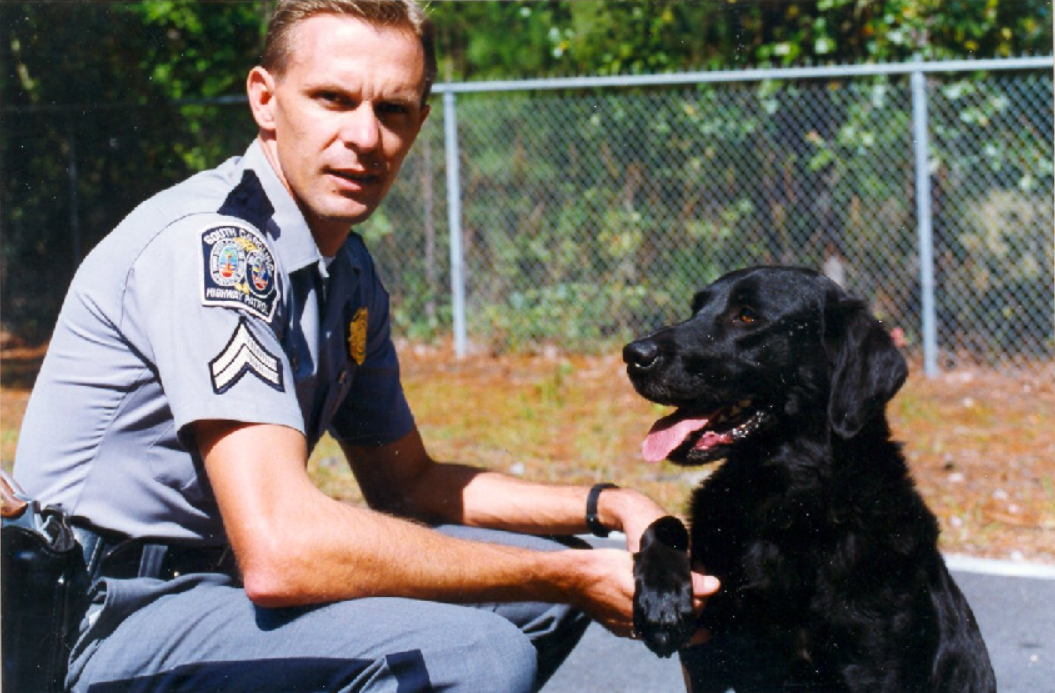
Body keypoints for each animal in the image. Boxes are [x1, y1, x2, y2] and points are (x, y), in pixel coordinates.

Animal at [620, 265, 991, 691]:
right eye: (695, 309)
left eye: (747, 316)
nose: (633, 354)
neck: (784, 500)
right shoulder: (704, 658)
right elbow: (665, 524)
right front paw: (663, 598)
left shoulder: (869, 668)